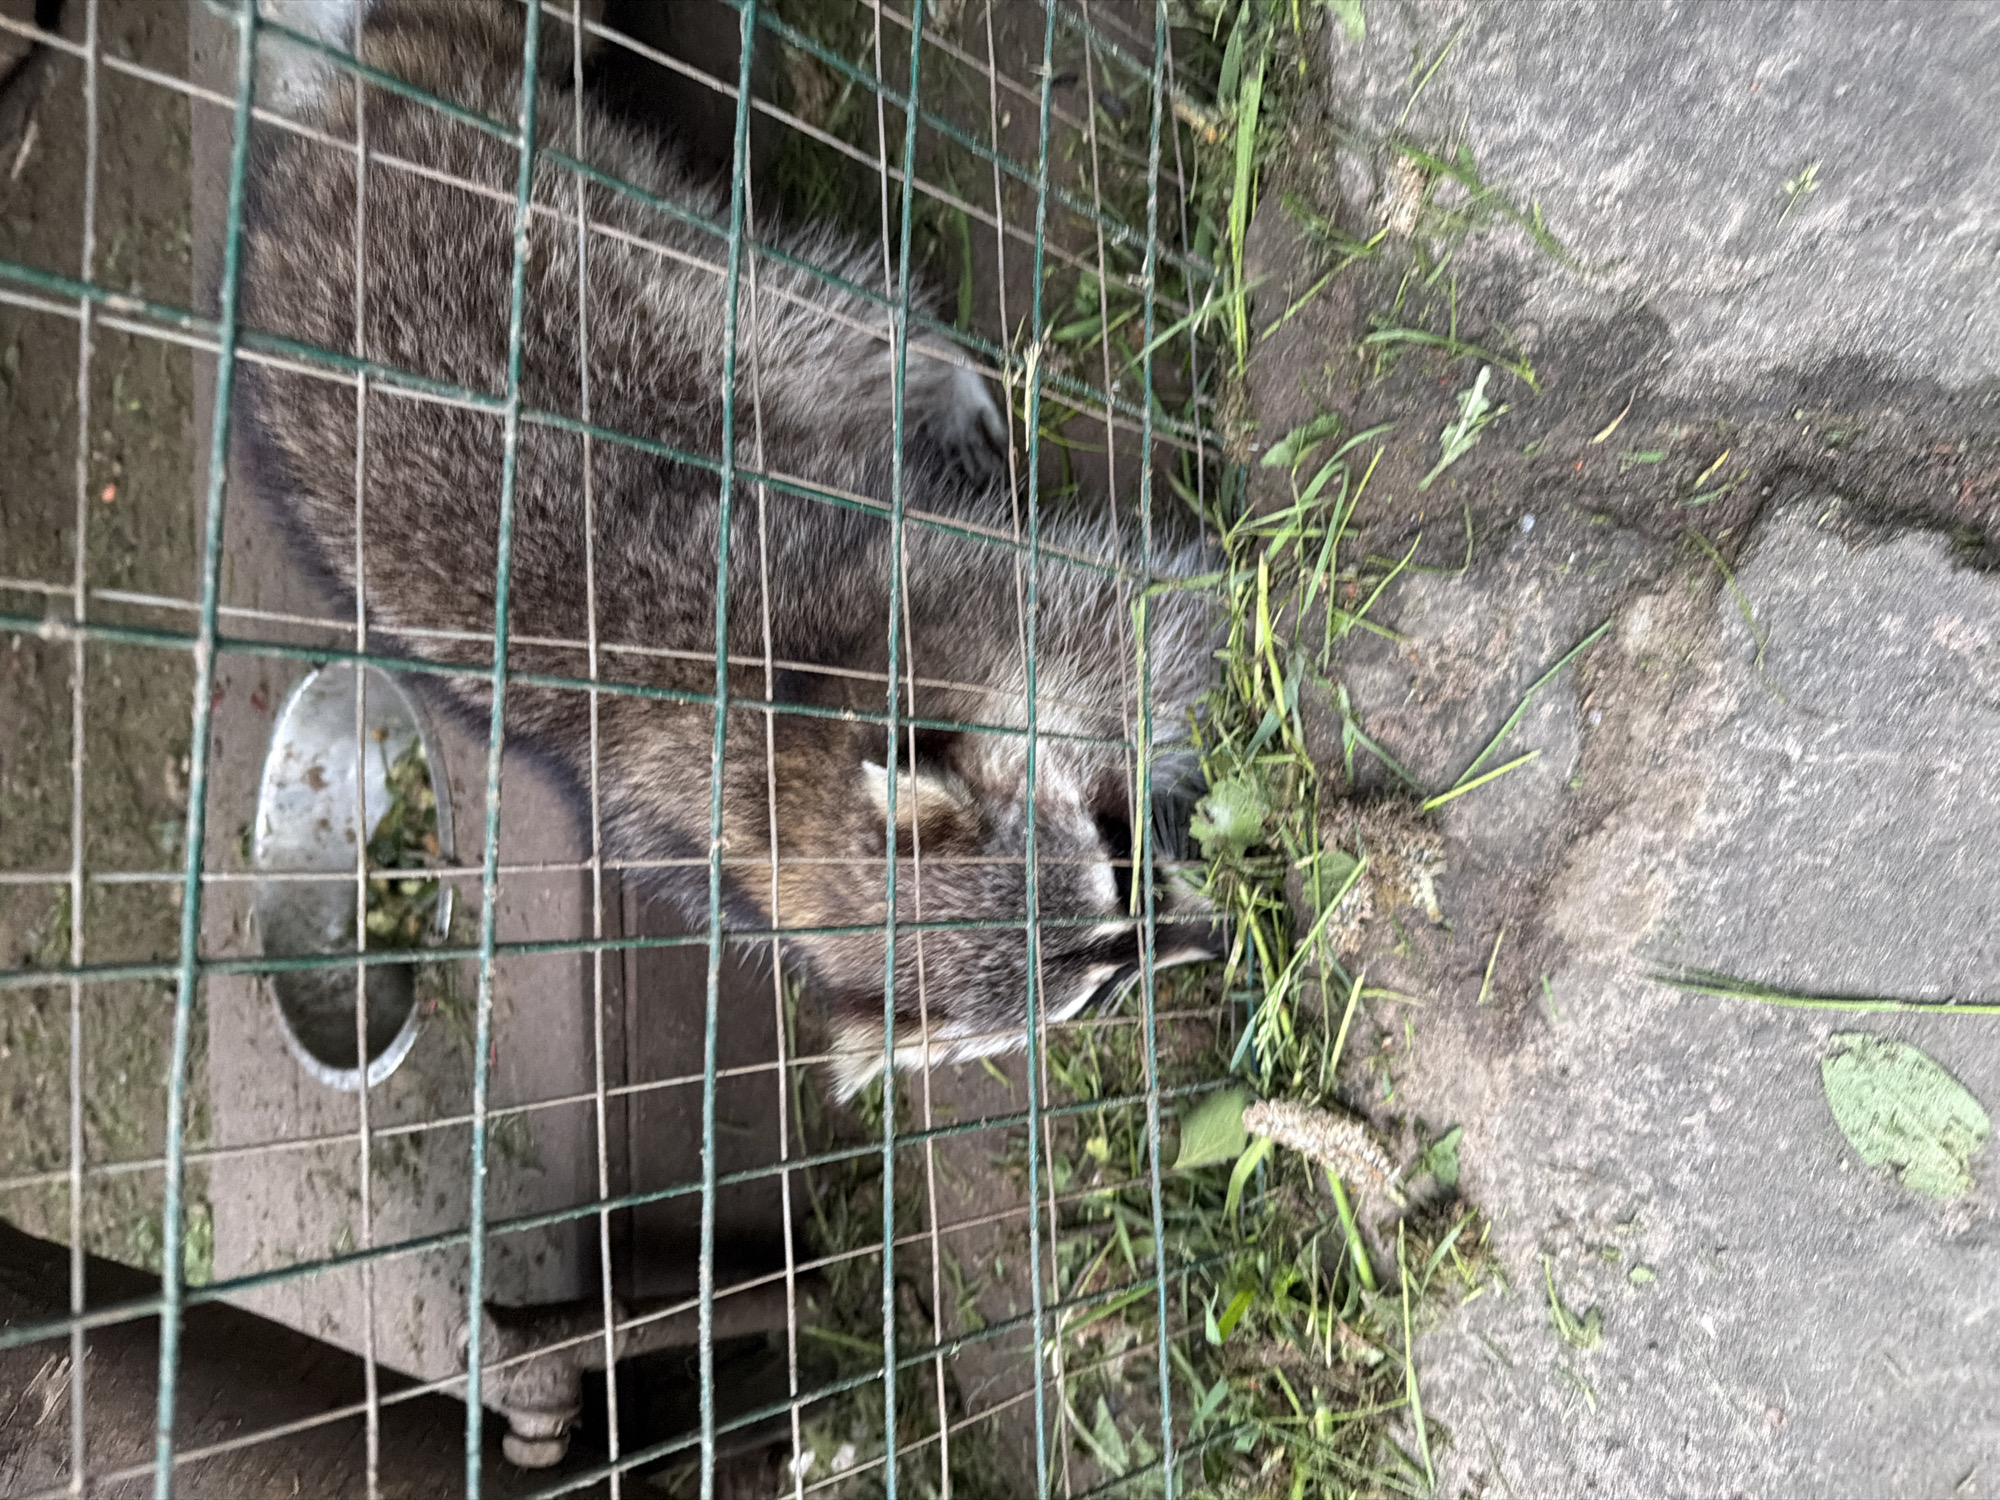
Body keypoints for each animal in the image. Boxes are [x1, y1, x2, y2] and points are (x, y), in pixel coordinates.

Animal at [237, 0, 1221, 1097]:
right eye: (1099, 984)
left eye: (1113, 862)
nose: (1218, 940)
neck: (782, 787)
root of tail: (337, 107)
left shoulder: (935, 578)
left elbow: (1152, 623)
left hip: (604, 235)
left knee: (808, 313)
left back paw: (927, 362)